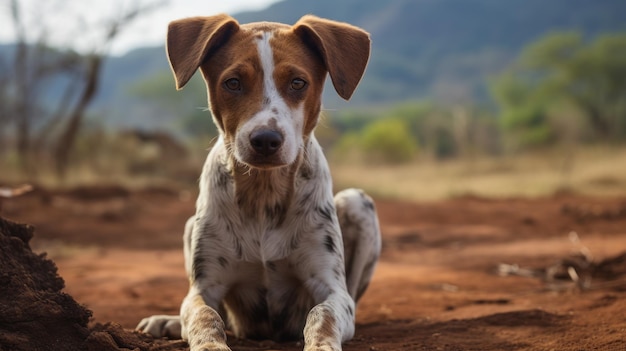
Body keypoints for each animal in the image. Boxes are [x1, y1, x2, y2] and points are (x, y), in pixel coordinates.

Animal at [137, 13, 380, 351]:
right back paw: (167, 321)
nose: (266, 139)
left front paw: (321, 345)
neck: (263, 193)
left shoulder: (332, 288)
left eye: (298, 83)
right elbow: (205, 317)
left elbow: (322, 314)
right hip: (189, 226)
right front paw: (209, 344)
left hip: (357, 203)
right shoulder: (204, 287)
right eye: (233, 82)